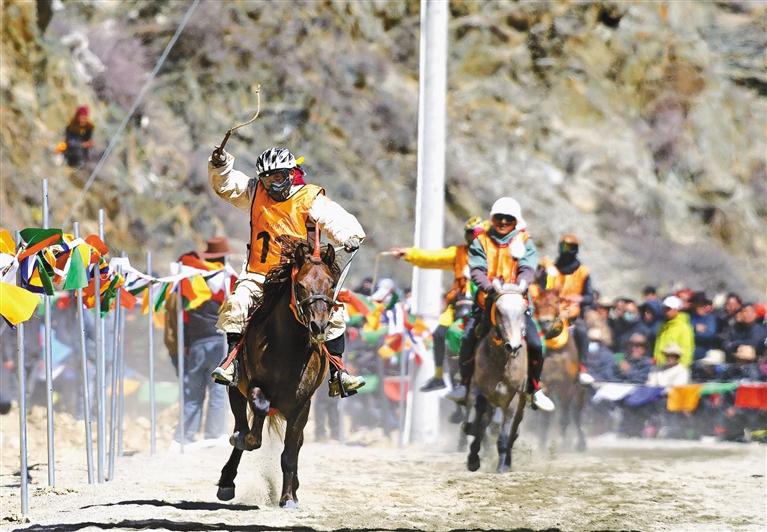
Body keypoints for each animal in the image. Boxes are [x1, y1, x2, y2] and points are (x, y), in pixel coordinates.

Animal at [216, 238, 340, 507]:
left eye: (332, 284)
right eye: (301, 285)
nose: (319, 326)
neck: (288, 348)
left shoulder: (302, 404)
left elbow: (290, 452)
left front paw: (288, 497)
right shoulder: (254, 386)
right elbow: (257, 418)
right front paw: (246, 439)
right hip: (236, 390)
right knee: (241, 423)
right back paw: (227, 479)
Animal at [466, 282, 529, 473]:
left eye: (524, 310)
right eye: (499, 310)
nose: (513, 346)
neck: (501, 361)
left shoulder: (512, 398)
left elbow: (504, 435)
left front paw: (501, 466)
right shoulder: (478, 388)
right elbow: (477, 417)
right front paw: (473, 459)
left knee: (514, 428)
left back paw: (507, 461)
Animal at [533, 288, 587, 452]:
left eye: (557, 302)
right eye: (536, 303)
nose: (545, 322)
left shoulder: (566, 386)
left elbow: (565, 416)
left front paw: (563, 446)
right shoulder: (547, 383)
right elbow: (545, 417)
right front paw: (542, 446)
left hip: (578, 391)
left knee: (576, 414)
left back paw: (580, 443)